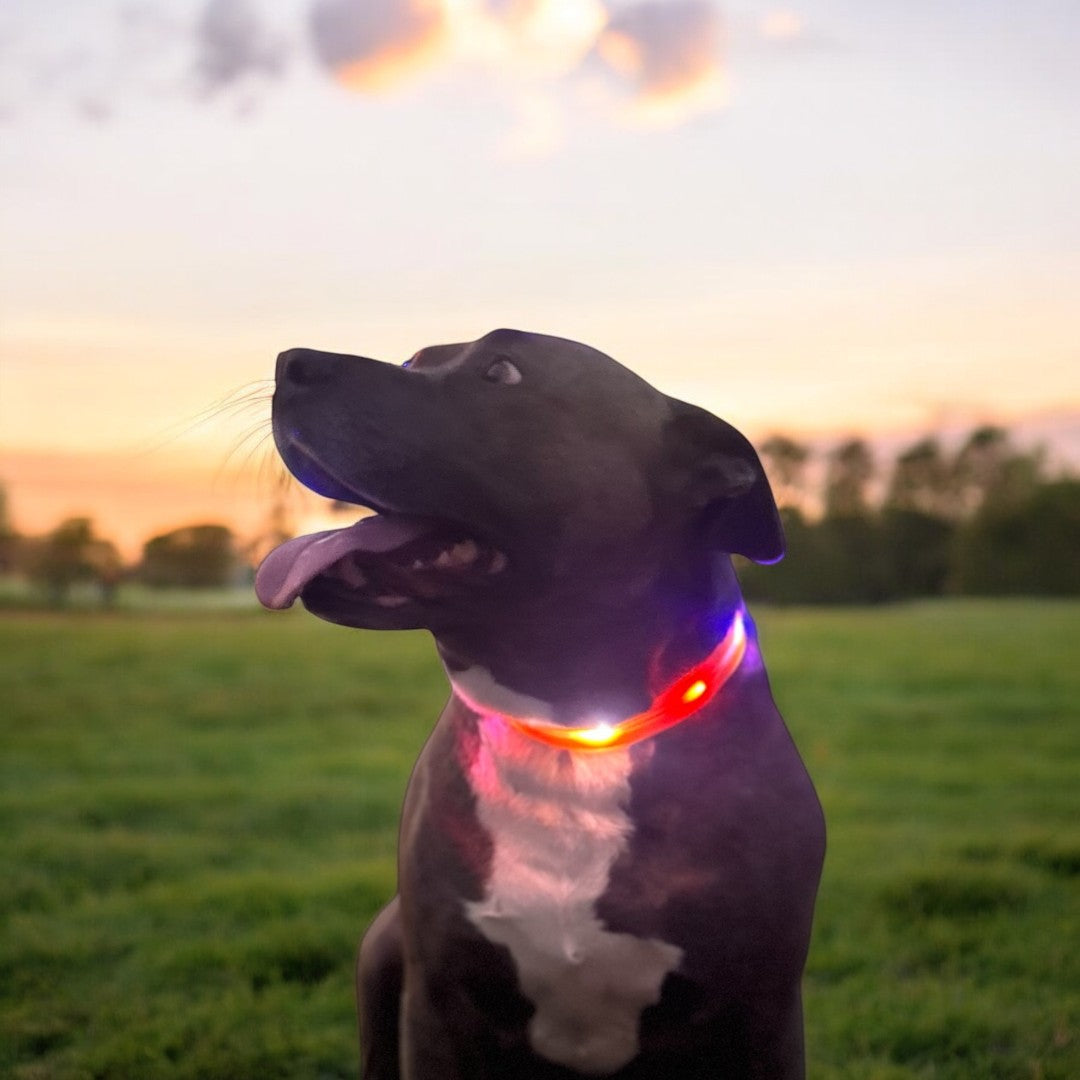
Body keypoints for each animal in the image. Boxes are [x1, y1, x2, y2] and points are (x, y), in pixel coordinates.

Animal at [254, 330, 825, 1080]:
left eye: (502, 371)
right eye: (413, 362)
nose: (288, 362)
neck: (575, 735)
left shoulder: (762, 1016)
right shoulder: (437, 1005)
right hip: (380, 953)